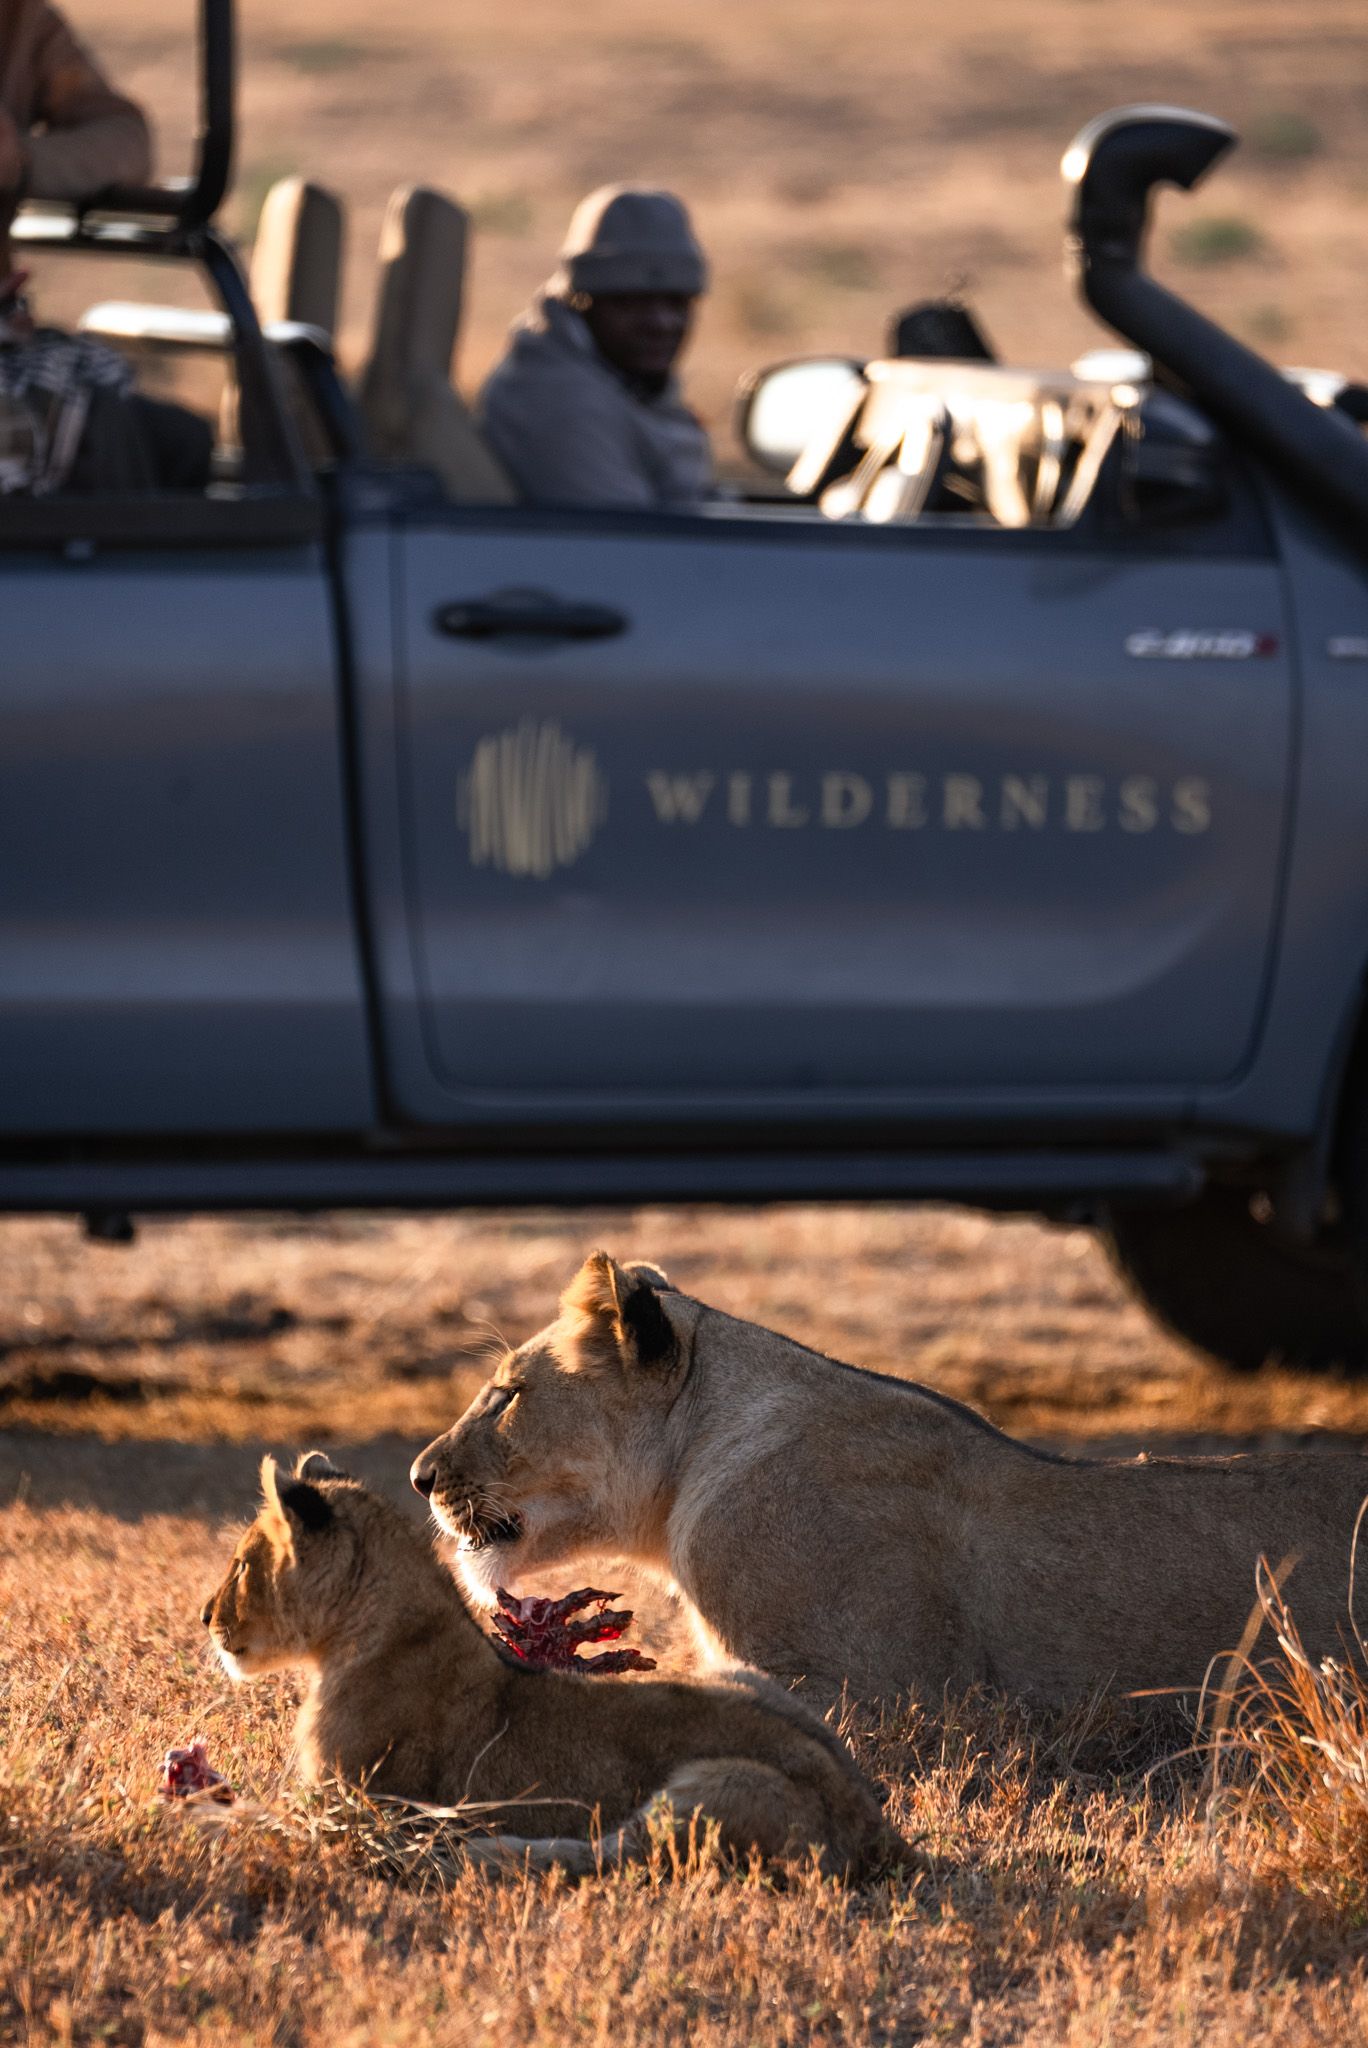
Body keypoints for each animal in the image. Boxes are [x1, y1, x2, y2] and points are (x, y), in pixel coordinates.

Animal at [201, 1451, 905, 1880]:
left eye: (240, 1564)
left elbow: (249, 1816)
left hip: (710, 1788)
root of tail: (874, 1823)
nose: (207, 1616)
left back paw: (469, 1853)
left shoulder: (346, 1812)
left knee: (610, 1856)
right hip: (742, 1676)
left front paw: (193, 1812)